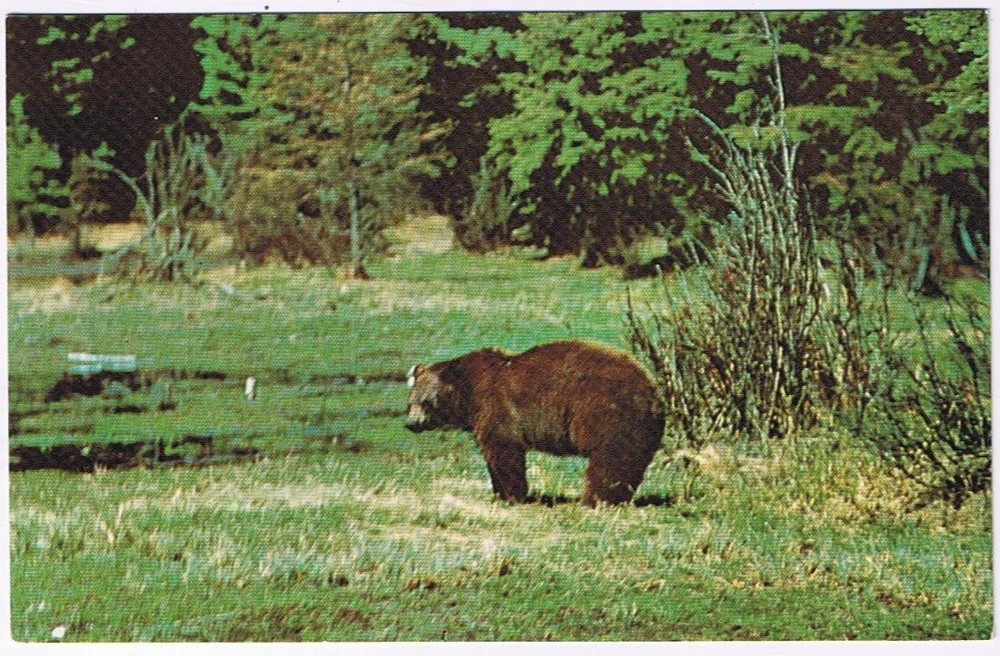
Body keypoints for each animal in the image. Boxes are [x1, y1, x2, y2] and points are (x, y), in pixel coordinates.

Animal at [405, 340, 664, 506]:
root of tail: (651, 388)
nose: (411, 423)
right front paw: (498, 493)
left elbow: (504, 450)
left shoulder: (498, 406)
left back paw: (595, 499)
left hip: (605, 412)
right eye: (410, 402)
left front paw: (511, 495)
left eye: (426, 402)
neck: (469, 393)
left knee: (609, 459)